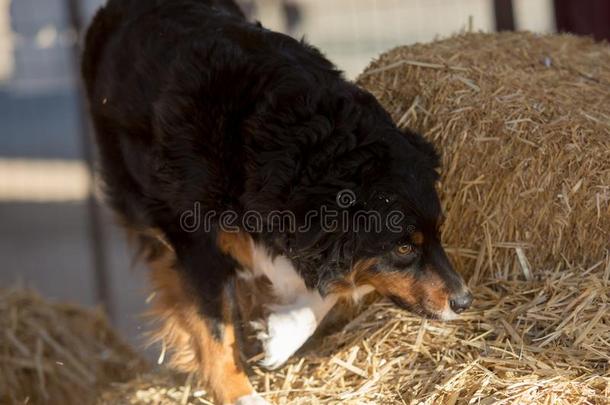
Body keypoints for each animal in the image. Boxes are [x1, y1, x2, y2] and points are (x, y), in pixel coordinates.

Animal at [81, 1, 470, 402]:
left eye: (439, 233)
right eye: (404, 248)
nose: (464, 301)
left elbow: (326, 283)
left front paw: (281, 333)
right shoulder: (197, 245)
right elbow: (215, 331)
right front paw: (240, 392)